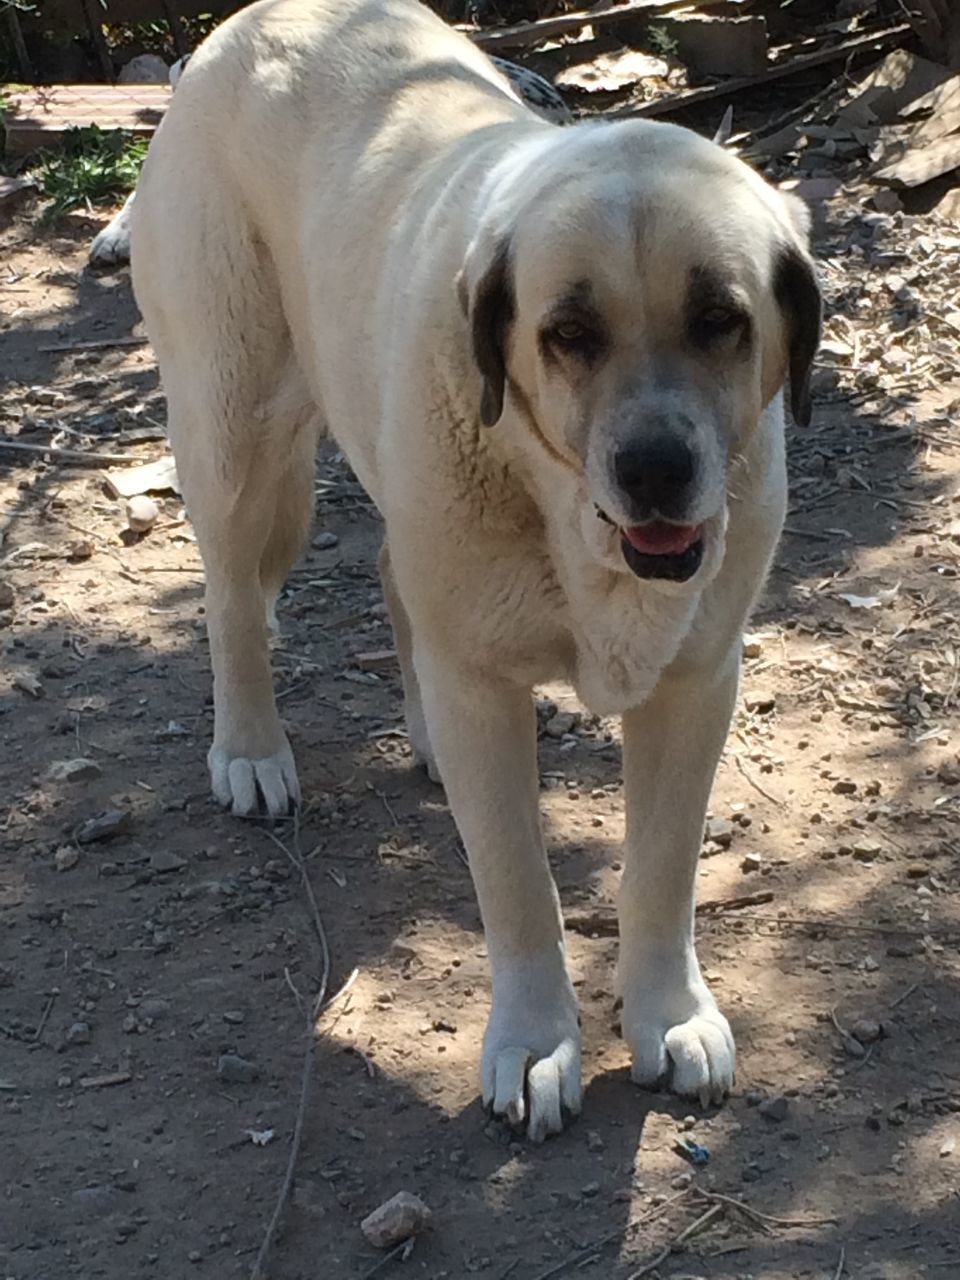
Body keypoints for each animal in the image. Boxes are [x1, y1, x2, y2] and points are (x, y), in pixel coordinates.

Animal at [131, 0, 824, 1141]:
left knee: (388, 568)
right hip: (234, 430)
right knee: (232, 597)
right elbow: (518, 886)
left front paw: (670, 1012)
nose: (655, 469)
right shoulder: (486, 690)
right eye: (569, 333)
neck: (570, 515)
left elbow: (662, 870)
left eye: (721, 319)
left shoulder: (696, 682)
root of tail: (252, 22)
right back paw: (251, 750)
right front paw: (537, 1041)